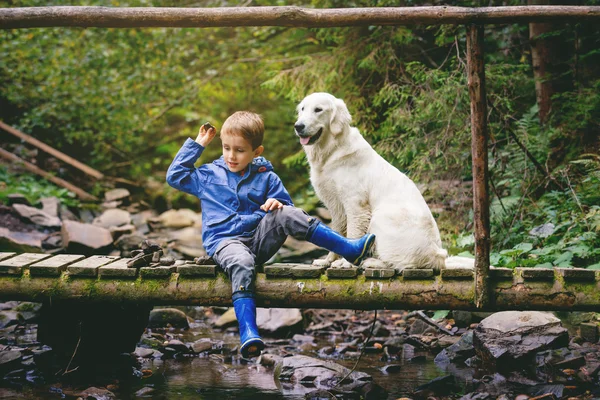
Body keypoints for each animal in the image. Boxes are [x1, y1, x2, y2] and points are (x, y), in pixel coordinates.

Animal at [296, 92, 450, 270]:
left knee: (398, 263)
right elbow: (337, 233)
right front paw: (328, 260)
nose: (298, 126)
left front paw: (345, 262)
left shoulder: (356, 204)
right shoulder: (336, 206)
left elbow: (352, 233)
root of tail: (437, 255)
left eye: (318, 110)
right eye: (302, 109)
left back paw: (370, 261)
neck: (331, 150)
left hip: (382, 217)